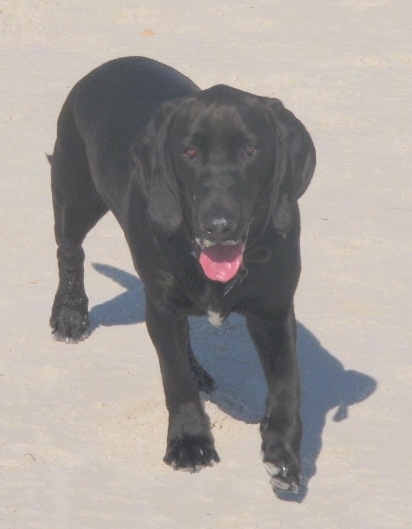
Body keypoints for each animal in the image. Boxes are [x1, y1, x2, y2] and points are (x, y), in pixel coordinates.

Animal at [50, 56, 316, 490]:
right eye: (189, 152)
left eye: (251, 150)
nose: (218, 225)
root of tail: (112, 63)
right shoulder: (161, 307)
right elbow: (175, 380)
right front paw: (190, 442)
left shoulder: (274, 310)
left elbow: (287, 385)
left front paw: (282, 454)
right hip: (75, 197)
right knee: (69, 252)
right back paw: (70, 315)